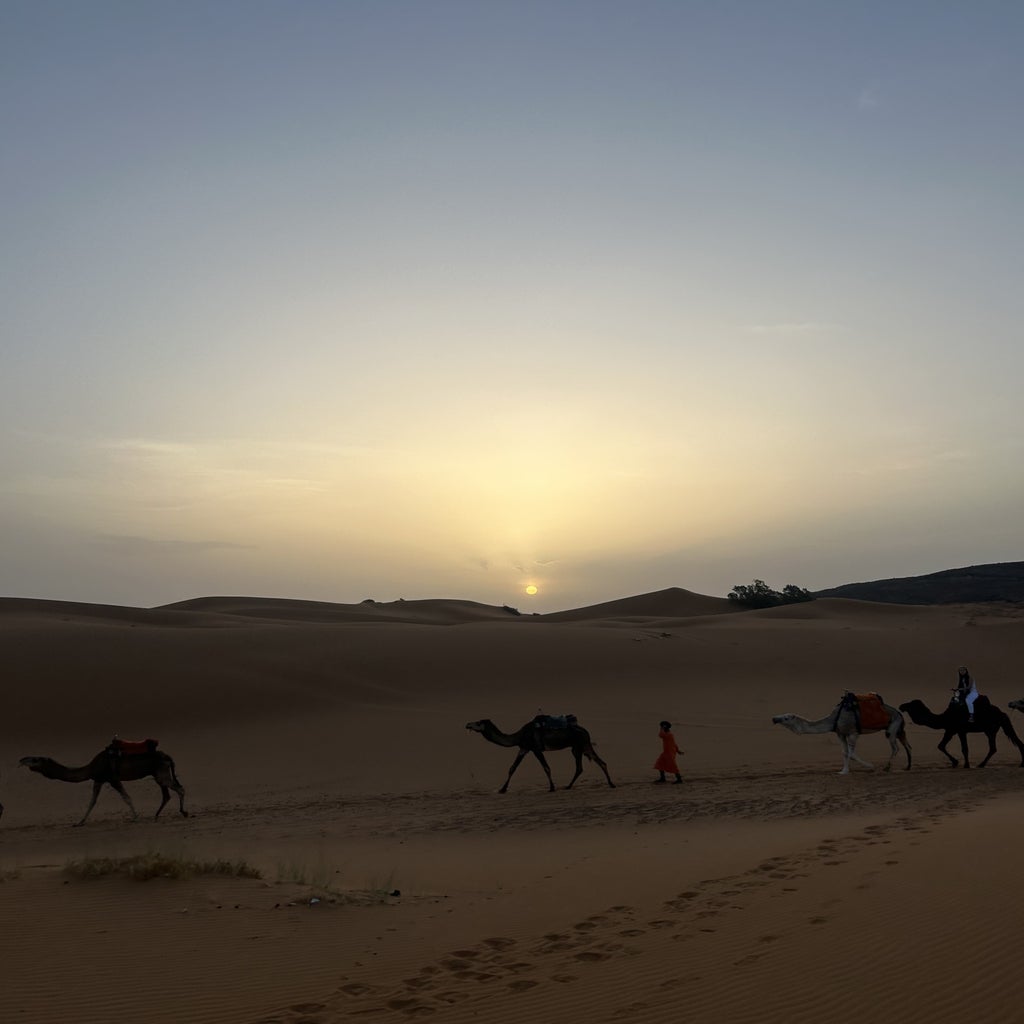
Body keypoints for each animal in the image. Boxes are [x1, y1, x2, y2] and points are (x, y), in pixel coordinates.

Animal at [20, 741, 189, 827]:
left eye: (35, 759)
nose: (21, 759)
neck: (91, 767)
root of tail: (168, 756)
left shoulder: (112, 778)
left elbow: (126, 797)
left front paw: (135, 818)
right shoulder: (99, 779)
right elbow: (92, 801)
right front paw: (80, 822)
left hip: (161, 773)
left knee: (179, 789)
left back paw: (184, 812)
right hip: (158, 773)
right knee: (166, 794)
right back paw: (156, 815)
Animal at [466, 716, 614, 794]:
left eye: (478, 722)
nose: (467, 724)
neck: (518, 736)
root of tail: (585, 731)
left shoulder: (535, 749)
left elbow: (546, 767)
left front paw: (552, 788)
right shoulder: (524, 748)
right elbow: (512, 768)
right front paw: (502, 789)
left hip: (581, 745)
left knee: (585, 766)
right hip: (580, 747)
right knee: (595, 763)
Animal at [770, 700, 913, 770]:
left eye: (786, 718)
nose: (774, 719)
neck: (834, 719)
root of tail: (900, 714)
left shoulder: (853, 733)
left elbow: (852, 753)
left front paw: (870, 766)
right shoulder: (840, 734)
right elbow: (845, 752)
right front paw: (843, 771)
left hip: (892, 728)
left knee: (895, 747)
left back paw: (887, 767)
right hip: (899, 729)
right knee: (906, 745)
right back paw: (907, 767)